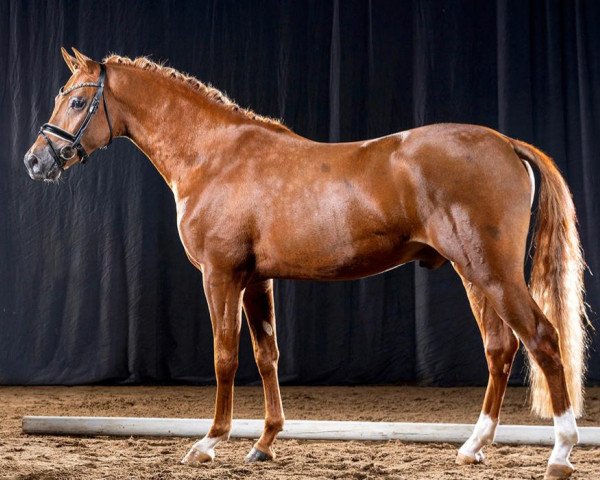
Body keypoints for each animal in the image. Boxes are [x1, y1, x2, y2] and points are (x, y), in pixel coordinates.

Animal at [23, 49, 584, 480]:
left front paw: (209, 442)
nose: (35, 160)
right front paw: (265, 442)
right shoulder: (256, 281)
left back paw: (560, 452)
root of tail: (504, 142)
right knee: (501, 348)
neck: (215, 155)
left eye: (77, 100)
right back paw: (474, 446)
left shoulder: (220, 276)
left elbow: (225, 357)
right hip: (474, 275)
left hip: (492, 273)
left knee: (542, 338)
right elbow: (267, 356)